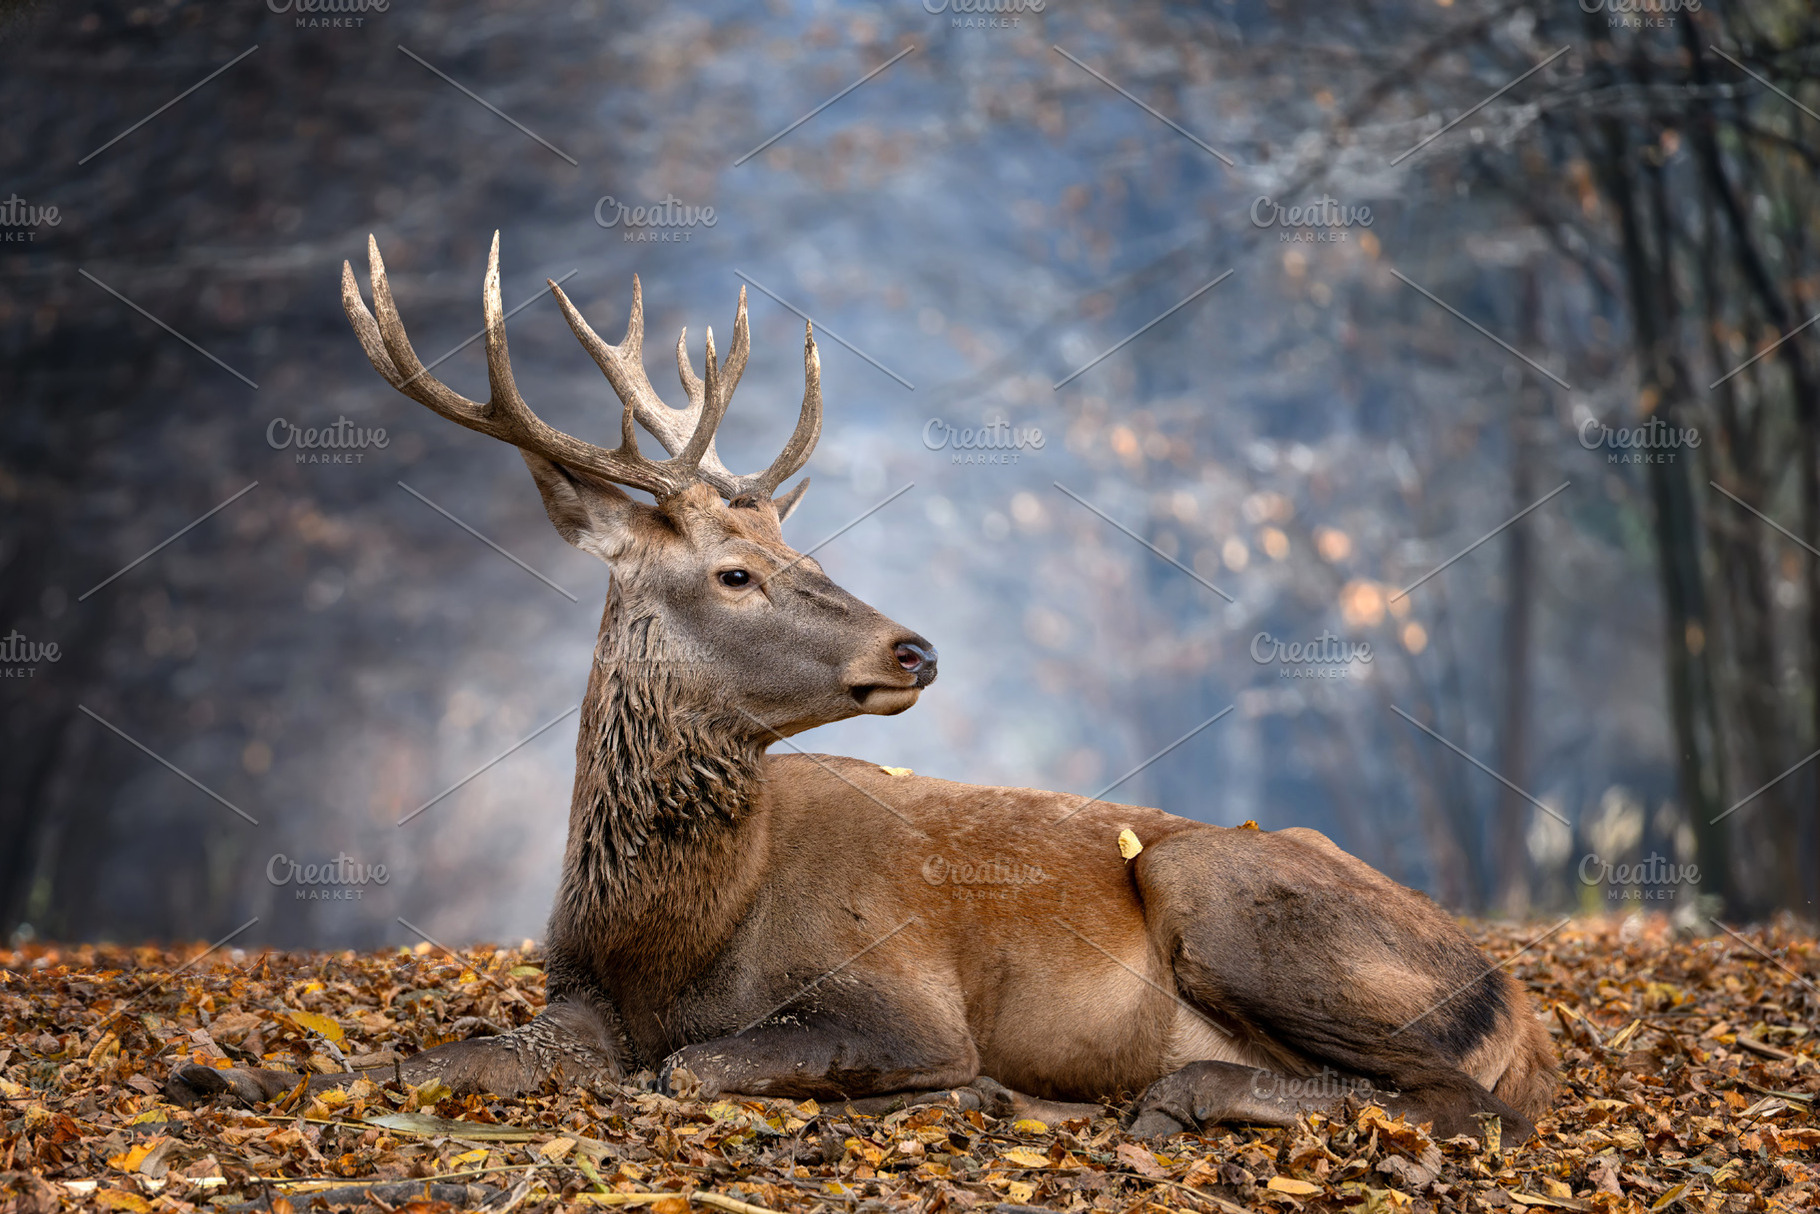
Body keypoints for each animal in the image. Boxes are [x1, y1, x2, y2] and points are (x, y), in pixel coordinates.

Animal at [168, 234, 1557, 1142]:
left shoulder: (898, 993)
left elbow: (691, 1072)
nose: (915, 648)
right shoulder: (577, 995)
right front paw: (225, 1076)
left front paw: (966, 1087)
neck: (674, 934)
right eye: (736, 570)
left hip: (1222, 888)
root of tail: (1517, 1002)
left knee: (1455, 1103)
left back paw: (1174, 1093)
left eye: (805, 552)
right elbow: (427, 1056)